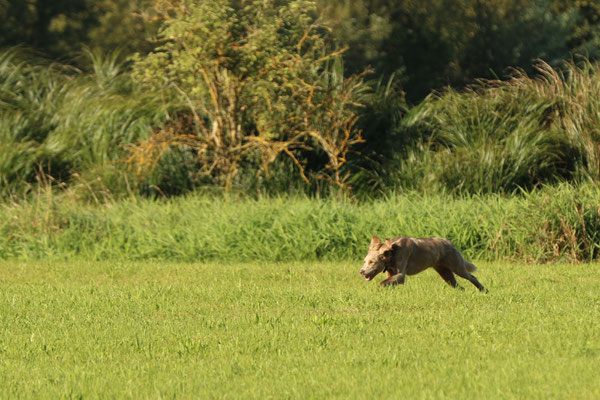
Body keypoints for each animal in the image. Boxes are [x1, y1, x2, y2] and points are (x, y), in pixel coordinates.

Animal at [358, 234, 486, 290]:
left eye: (372, 262)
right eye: (364, 261)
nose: (361, 271)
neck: (392, 252)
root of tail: (450, 243)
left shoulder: (400, 274)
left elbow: (382, 283)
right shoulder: (391, 273)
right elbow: (388, 282)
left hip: (457, 267)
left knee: (472, 277)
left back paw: (483, 290)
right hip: (445, 273)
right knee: (459, 286)